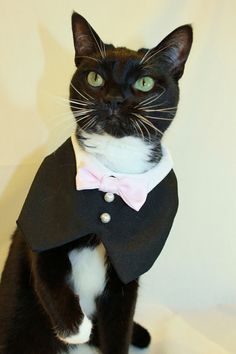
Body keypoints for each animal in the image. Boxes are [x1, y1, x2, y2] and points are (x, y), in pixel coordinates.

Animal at [0, 11, 193, 354]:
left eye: (144, 83)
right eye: (95, 79)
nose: (114, 99)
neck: (113, 173)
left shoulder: (129, 265)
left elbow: (119, 325)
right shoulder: (43, 224)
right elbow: (44, 267)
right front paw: (74, 327)